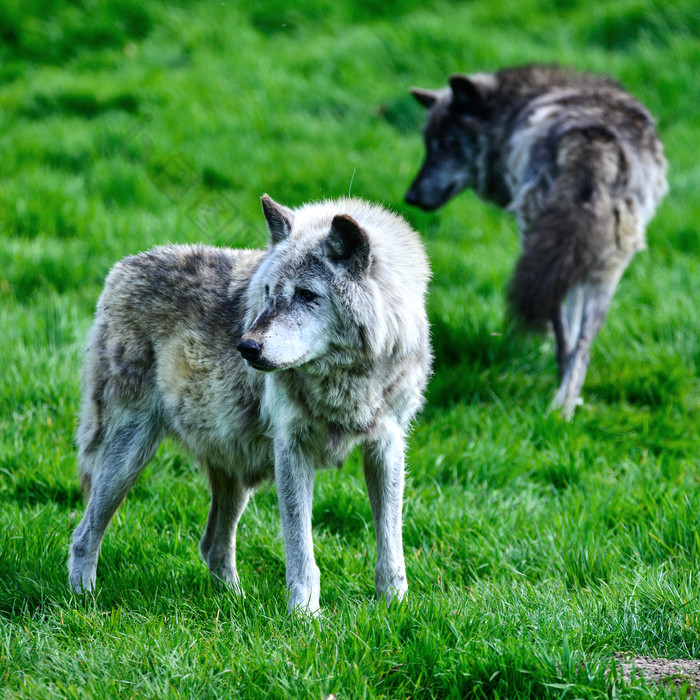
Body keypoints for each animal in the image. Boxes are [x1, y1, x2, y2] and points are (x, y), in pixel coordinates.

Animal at [68, 196, 430, 612]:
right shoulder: (292, 450)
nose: (246, 347)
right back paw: (84, 602)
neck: (349, 378)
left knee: (212, 545)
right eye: (270, 292)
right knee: (83, 534)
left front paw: (394, 607)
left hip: (235, 471)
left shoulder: (387, 444)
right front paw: (304, 616)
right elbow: (301, 549)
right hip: (128, 458)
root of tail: (122, 268)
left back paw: (234, 602)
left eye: (307, 295)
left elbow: (391, 544)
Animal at [408, 64, 668, 416]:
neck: (513, 109)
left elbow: (565, 327)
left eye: (446, 144)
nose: (410, 197)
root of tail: (593, 141)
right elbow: (576, 328)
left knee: (562, 334)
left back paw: (558, 406)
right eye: (427, 145)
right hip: (605, 272)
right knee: (583, 344)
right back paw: (565, 408)